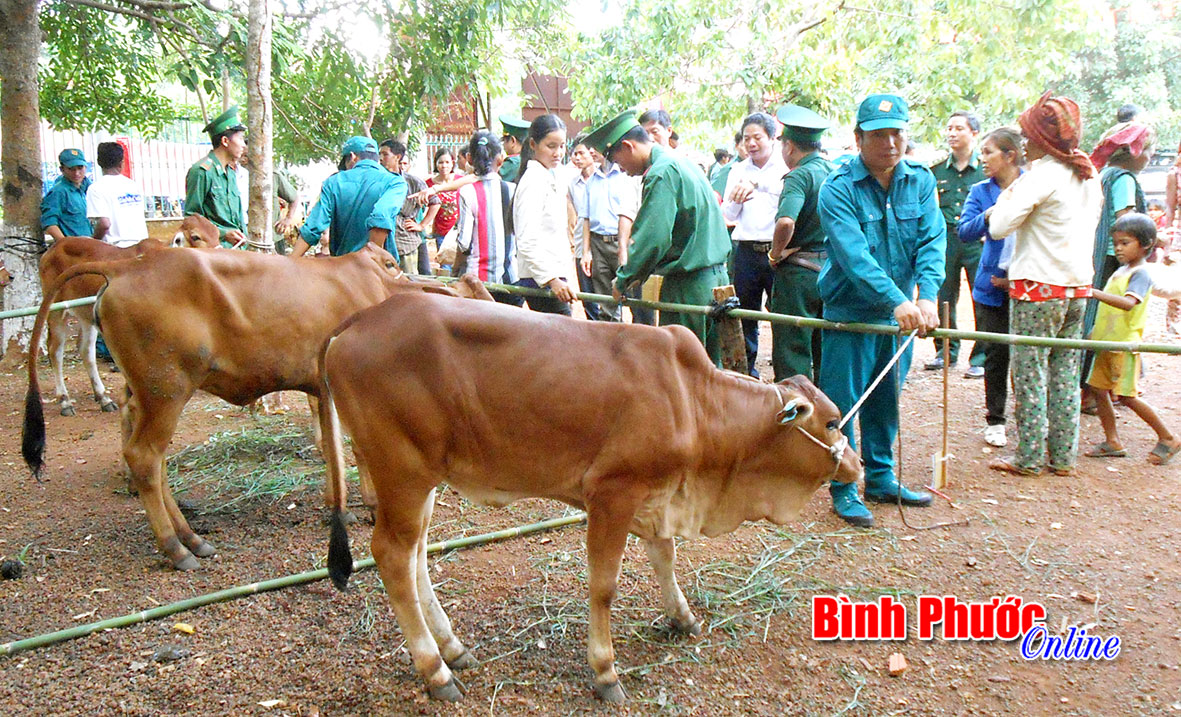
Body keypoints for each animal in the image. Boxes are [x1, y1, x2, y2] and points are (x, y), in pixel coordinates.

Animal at [23, 245, 493, 571]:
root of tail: (126, 266)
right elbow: (355, 449)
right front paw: (371, 504)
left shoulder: (321, 387)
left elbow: (332, 448)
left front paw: (338, 503)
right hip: (166, 390)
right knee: (144, 457)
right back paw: (177, 548)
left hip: (148, 392)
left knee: (148, 454)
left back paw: (191, 537)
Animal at [318, 294, 864, 704]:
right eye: (832, 421)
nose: (856, 467)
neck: (692, 399)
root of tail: (361, 319)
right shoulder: (611, 494)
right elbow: (604, 587)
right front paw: (605, 672)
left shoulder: (656, 495)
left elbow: (665, 556)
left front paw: (682, 617)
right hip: (402, 474)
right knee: (392, 556)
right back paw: (436, 671)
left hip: (423, 481)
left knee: (414, 558)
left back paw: (453, 650)